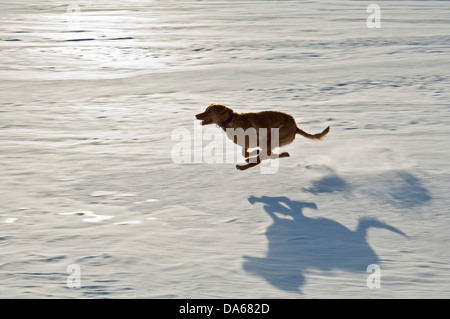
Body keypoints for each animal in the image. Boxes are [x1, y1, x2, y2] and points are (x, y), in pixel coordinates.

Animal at [195, 104, 328, 170]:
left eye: (210, 111)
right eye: (206, 109)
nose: (196, 115)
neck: (230, 123)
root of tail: (296, 127)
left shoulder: (262, 139)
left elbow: (257, 156)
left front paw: (252, 157)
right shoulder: (246, 144)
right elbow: (245, 153)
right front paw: (252, 155)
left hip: (275, 136)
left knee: (261, 159)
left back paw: (243, 167)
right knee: (269, 155)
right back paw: (283, 154)